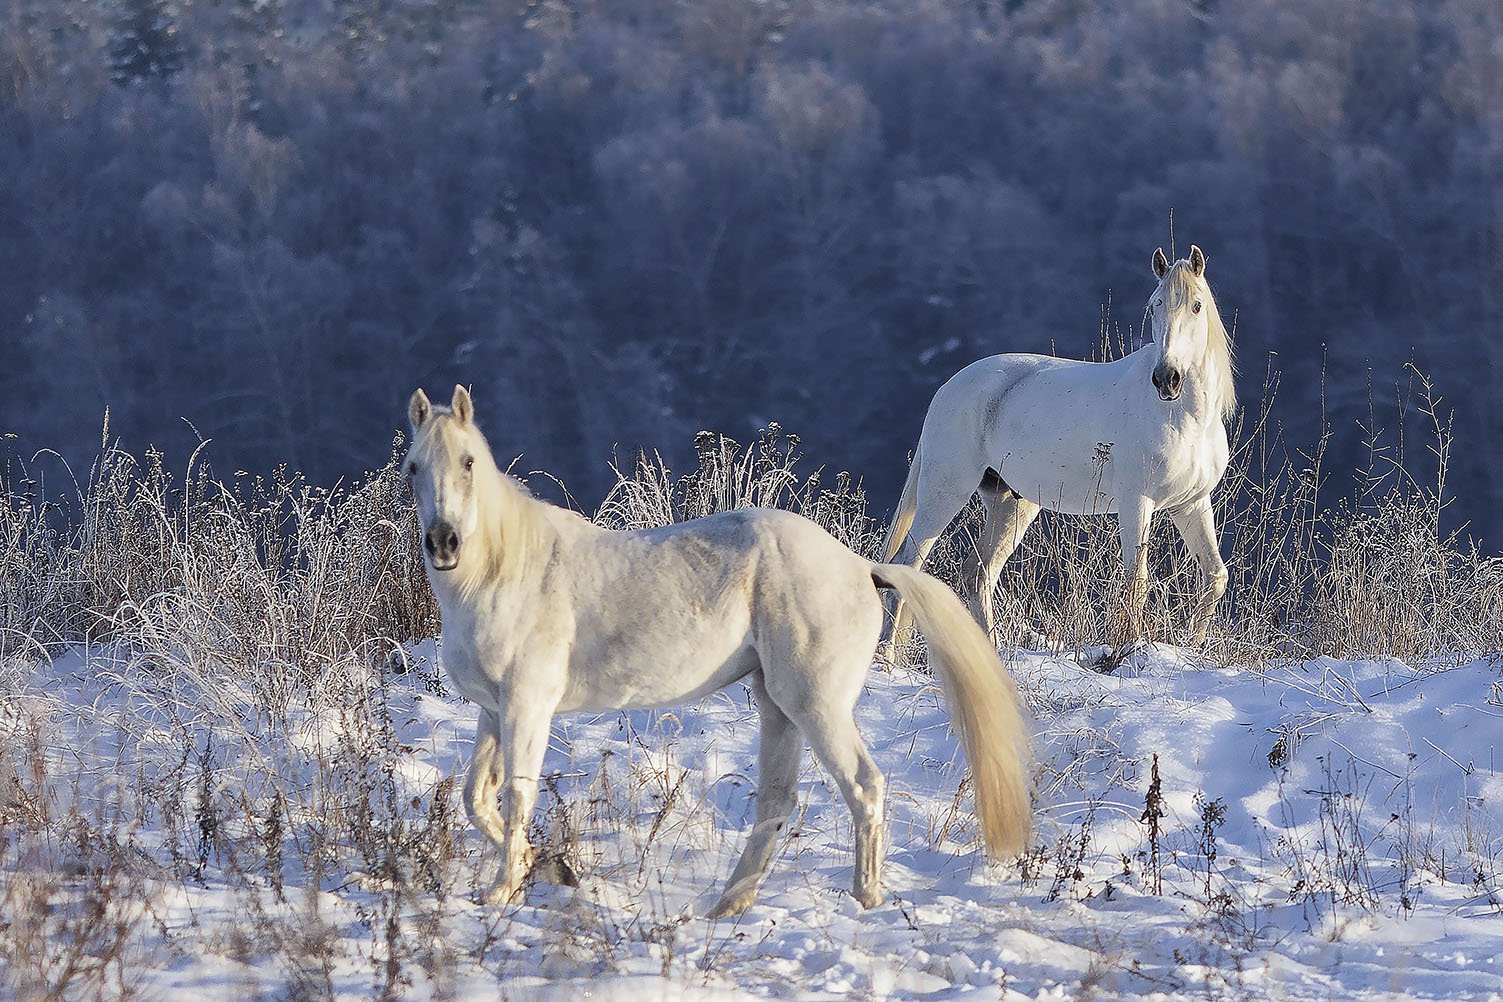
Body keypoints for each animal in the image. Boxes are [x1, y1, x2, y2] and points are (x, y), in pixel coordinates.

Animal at [402, 384, 1034, 919]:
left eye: (468, 462)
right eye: (414, 468)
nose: (444, 543)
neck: (507, 572)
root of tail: (863, 568)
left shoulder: (528, 705)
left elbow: (516, 796)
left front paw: (504, 890)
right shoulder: (493, 711)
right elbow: (477, 798)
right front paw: (549, 867)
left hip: (816, 706)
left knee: (863, 786)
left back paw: (866, 899)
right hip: (778, 709)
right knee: (776, 801)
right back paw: (730, 906)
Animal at [877, 246, 1232, 645]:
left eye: (1197, 306)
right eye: (1155, 306)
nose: (1166, 378)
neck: (1183, 418)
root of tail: (946, 390)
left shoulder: (1190, 504)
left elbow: (1215, 576)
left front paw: (1192, 642)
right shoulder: (1137, 502)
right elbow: (1136, 582)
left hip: (1012, 503)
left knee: (979, 572)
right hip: (945, 492)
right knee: (907, 564)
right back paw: (888, 655)